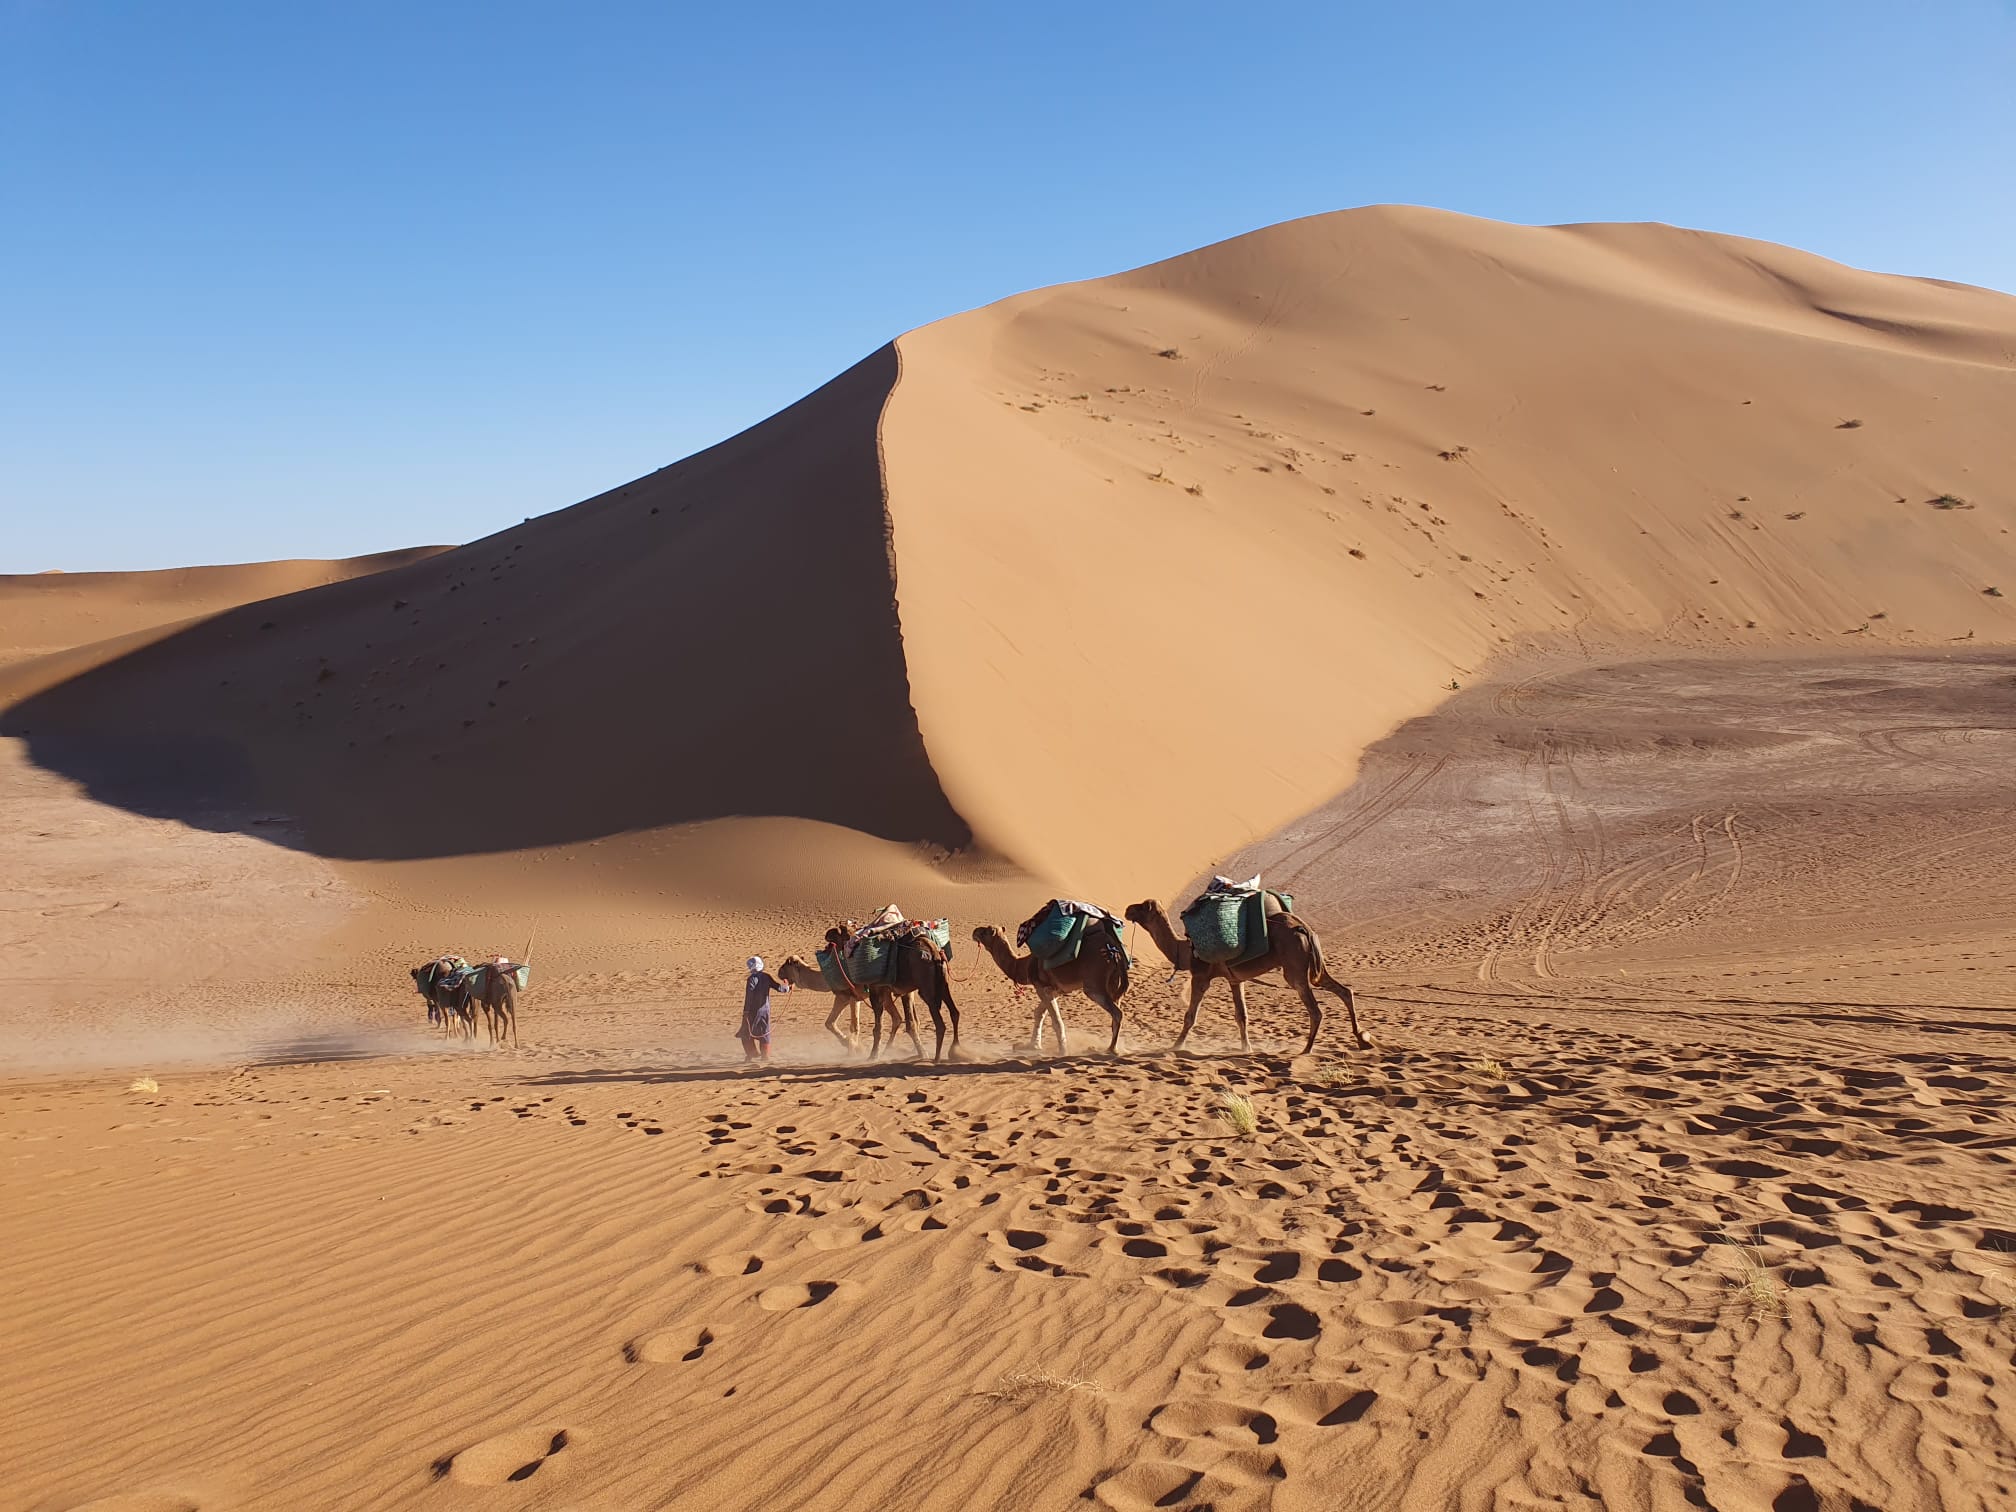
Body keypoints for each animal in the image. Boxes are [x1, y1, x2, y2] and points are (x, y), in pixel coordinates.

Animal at [820, 926, 959, 1062]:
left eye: (836, 936)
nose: (827, 937)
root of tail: (934, 953)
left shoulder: (874, 990)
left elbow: (878, 1027)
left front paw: (873, 1055)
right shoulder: (903, 991)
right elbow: (910, 1023)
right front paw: (921, 1053)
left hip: (926, 989)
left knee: (940, 1023)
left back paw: (937, 1058)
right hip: (943, 984)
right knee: (954, 1013)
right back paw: (954, 1050)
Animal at [970, 918, 1130, 1055]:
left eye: (986, 931)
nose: (974, 931)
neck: (1023, 966)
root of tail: (1114, 951)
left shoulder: (1042, 987)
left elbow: (1056, 1021)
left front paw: (1062, 1051)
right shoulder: (1055, 990)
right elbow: (1038, 1013)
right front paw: (1032, 1045)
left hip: (1093, 985)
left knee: (1117, 1013)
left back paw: (1111, 1049)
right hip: (1114, 983)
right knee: (1116, 1008)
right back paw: (1110, 1047)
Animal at [1124, 899, 1369, 1056]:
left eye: (1142, 907)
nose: (1127, 910)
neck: (1184, 951)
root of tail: (1304, 929)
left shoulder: (1200, 977)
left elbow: (1190, 1016)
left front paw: (1175, 1046)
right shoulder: (1235, 980)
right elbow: (1241, 1015)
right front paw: (1246, 1048)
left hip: (1294, 969)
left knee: (1315, 1009)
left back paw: (1306, 1049)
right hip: (1314, 964)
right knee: (1345, 991)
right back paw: (1362, 1039)